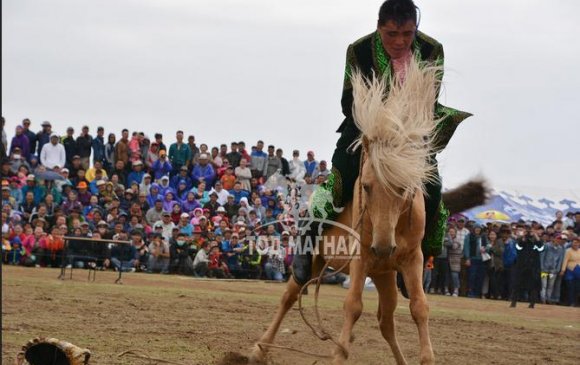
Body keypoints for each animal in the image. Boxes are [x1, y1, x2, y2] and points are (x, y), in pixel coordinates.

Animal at [254, 58, 458, 362]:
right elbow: (353, 306)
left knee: (386, 321)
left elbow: (419, 307)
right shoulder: (359, 256)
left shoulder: (413, 259)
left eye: (404, 189)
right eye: (366, 186)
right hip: (316, 264)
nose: (383, 247)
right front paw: (339, 354)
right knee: (289, 297)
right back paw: (260, 349)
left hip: (385, 275)